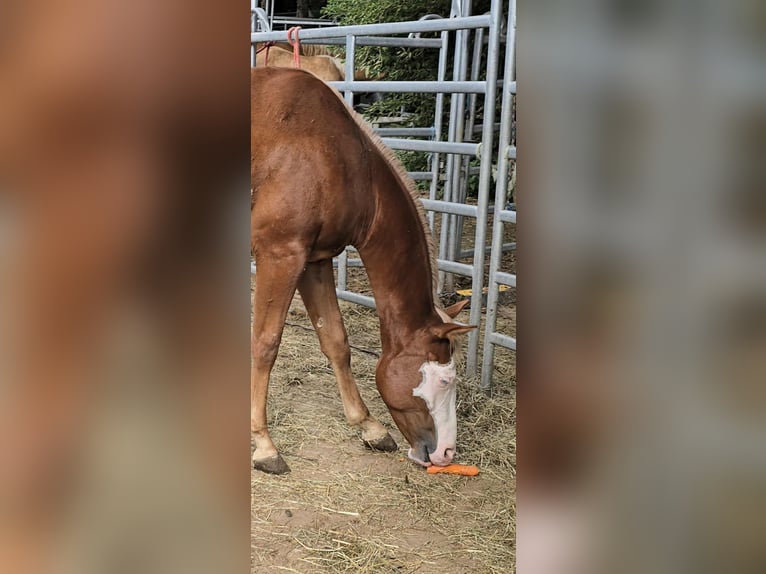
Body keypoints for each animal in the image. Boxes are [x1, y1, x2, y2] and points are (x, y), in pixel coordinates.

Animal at [251, 67, 475, 474]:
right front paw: (264, 445)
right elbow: (265, 344)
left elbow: (336, 342)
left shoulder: (315, 260)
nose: (447, 453)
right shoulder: (281, 255)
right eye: (445, 380)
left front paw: (369, 426)